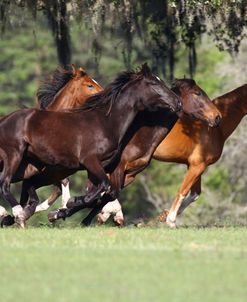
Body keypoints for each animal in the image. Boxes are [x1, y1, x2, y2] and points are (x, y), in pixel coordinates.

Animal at [0, 65, 181, 228]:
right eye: (154, 84)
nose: (177, 102)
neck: (105, 122)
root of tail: (6, 119)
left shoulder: (101, 166)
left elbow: (101, 192)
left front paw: (65, 209)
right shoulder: (90, 161)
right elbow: (102, 187)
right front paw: (70, 204)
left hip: (29, 167)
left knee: (25, 187)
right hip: (14, 156)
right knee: (5, 184)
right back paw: (17, 214)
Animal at [50, 78, 222, 224]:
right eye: (198, 93)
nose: (217, 117)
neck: (140, 136)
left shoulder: (129, 175)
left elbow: (105, 196)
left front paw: (69, 213)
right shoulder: (116, 169)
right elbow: (103, 194)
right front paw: (64, 210)